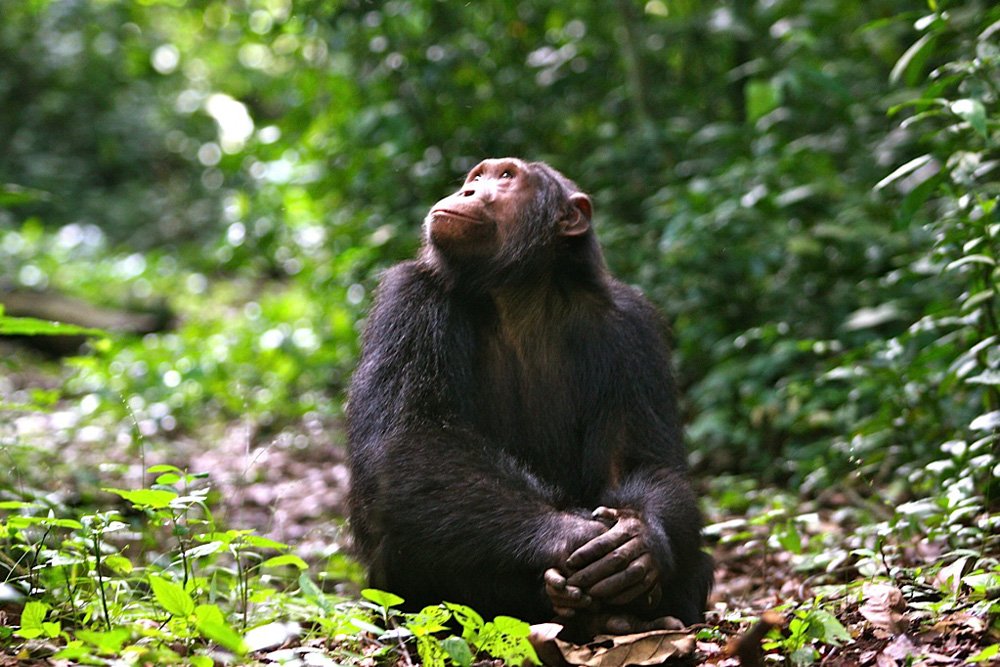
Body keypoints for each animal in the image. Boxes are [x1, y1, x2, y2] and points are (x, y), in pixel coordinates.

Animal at [348, 157, 716, 636]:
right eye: (477, 177)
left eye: (505, 178)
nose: (468, 192)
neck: (520, 291)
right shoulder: (407, 301)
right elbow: (412, 437)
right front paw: (568, 534)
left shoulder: (633, 327)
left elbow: (642, 462)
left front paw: (642, 541)